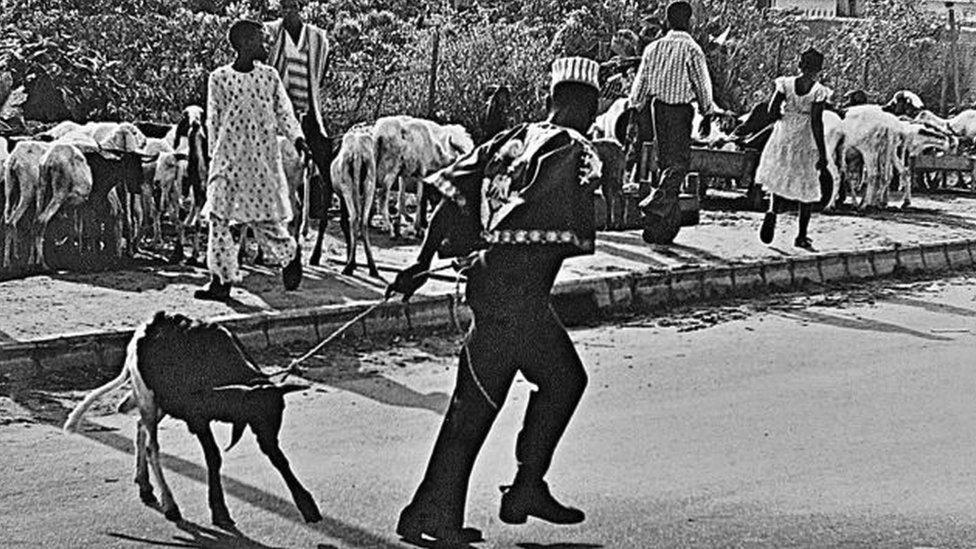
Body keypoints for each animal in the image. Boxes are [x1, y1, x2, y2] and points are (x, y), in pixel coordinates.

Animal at [65, 310, 324, 524]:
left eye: (278, 413)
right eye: (256, 413)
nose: (269, 438)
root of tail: (145, 329)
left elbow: (279, 459)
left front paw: (306, 504)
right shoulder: (198, 419)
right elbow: (214, 457)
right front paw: (219, 510)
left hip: (160, 404)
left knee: (140, 428)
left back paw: (145, 485)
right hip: (148, 399)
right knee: (151, 446)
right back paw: (169, 504)